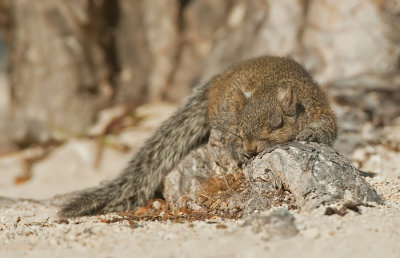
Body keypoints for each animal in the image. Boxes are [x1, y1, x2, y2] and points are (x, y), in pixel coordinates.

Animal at [59, 56, 336, 218]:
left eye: (277, 124)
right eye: (240, 128)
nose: (250, 148)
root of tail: (217, 81)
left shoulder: (319, 109)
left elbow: (328, 128)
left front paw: (310, 132)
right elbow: (229, 141)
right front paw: (238, 151)